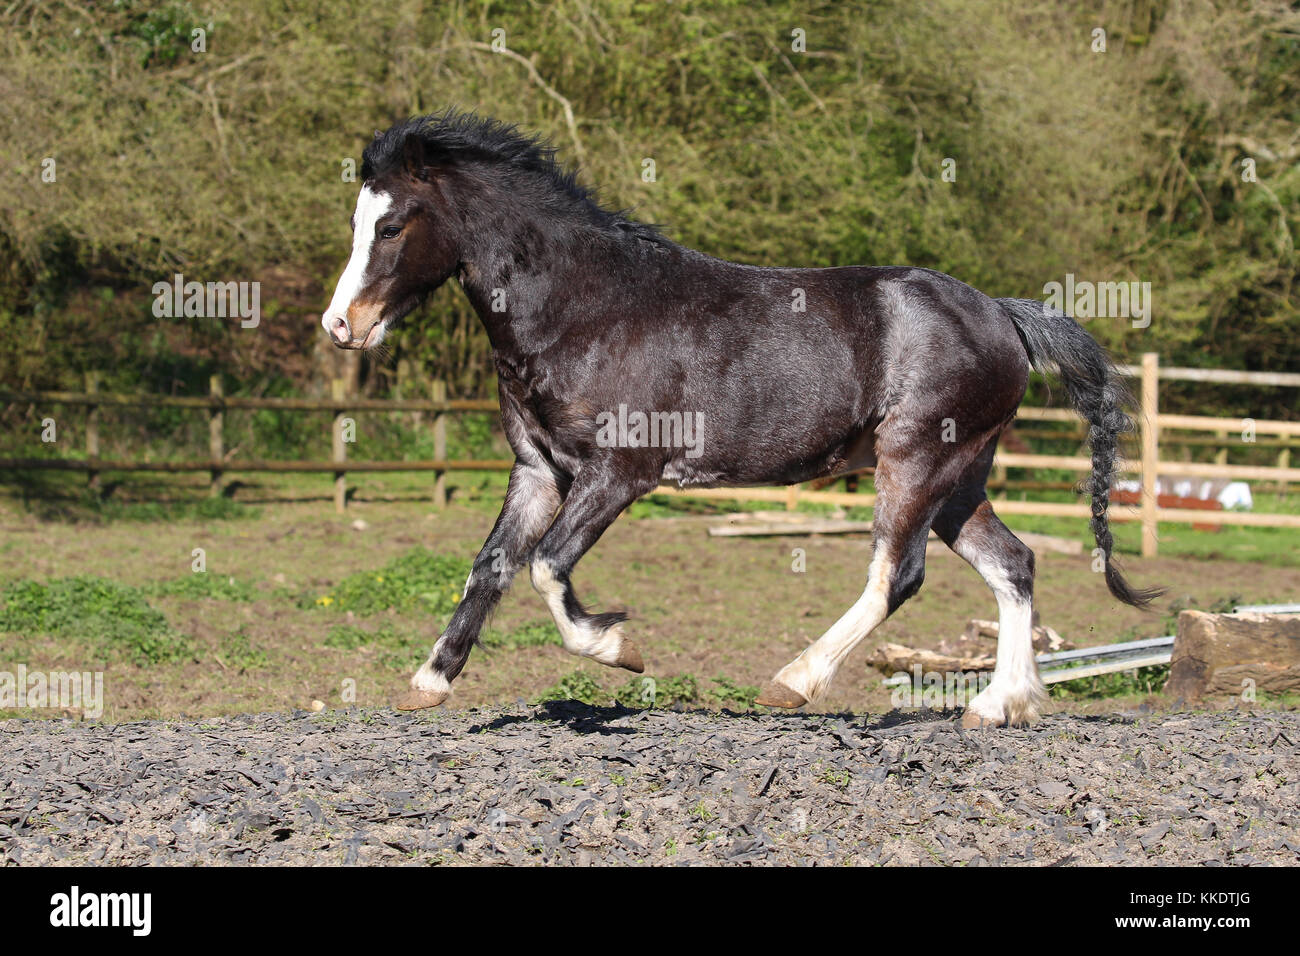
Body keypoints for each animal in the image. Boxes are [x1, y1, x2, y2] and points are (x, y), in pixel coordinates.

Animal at [320, 110, 1162, 727]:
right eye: (358, 222)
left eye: (393, 225)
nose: (341, 326)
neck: (586, 307)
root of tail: (1003, 315)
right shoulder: (538, 473)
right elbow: (492, 565)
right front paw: (429, 681)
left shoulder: (618, 473)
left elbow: (548, 567)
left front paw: (618, 647)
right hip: (959, 481)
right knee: (1014, 565)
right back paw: (998, 705)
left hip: (915, 464)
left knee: (896, 575)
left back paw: (794, 683)